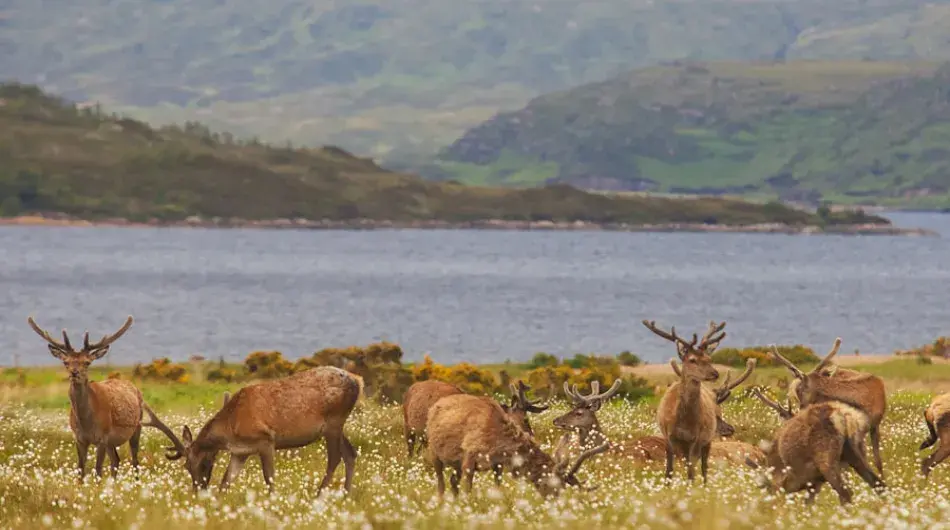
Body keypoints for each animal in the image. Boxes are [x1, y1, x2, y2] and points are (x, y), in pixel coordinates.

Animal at [27, 315, 141, 481]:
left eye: (87, 362)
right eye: (66, 362)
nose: (74, 373)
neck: (86, 422)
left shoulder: (102, 437)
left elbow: (98, 470)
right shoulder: (79, 438)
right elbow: (80, 469)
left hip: (136, 427)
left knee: (135, 461)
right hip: (112, 442)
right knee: (116, 460)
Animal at [146, 366, 363, 494]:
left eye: (204, 463)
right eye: (186, 467)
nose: (199, 492)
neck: (231, 427)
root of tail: (357, 380)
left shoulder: (266, 440)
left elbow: (269, 478)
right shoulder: (240, 452)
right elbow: (226, 481)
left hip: (334, 422)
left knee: (335, 457)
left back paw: (319, 495)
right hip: (336, 426)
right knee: (350, 453)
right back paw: (345, 495)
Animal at [425, 393, 608, 498]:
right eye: (551, 483)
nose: (556, 501)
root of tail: (434, 406)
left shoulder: (497, 463)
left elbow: (498, 486)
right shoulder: (469, 456)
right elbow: (467, 489)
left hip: (455, 462)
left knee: (452, 480)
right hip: (433, 452)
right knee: (441, 482)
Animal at [643, 319, 725, 484]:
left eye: (709, 359)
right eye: (692, 360)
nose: (715, 373)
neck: (684, 421)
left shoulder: (697, 437)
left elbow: (691, 470)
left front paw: (690, 486)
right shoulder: (669, 436)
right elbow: (669, 469)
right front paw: (668, 485)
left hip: (709, 437)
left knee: (704, 466)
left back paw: (705, 484)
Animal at [747, 386, 886, 505]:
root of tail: (842, 415)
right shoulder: (815, 482)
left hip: (825, 456)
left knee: (846, 493)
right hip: (857, 450)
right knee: (879, 484)